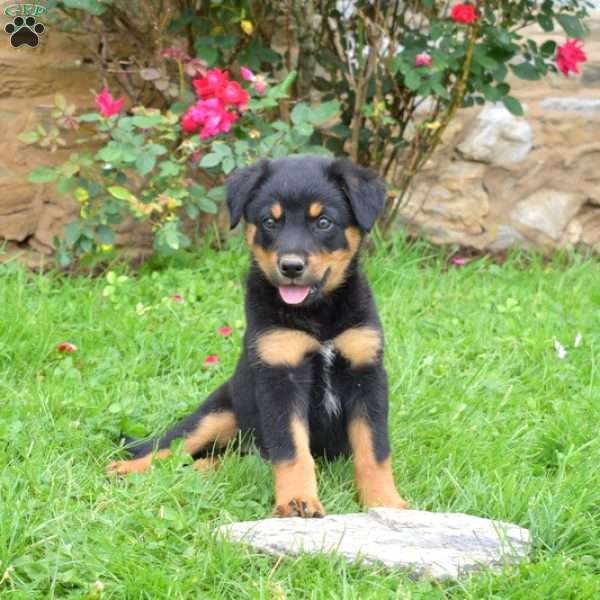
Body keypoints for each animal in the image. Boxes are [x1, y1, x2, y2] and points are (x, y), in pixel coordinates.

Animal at [108, 157, 408, 516]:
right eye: (269, 221)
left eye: (323, 222)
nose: (291, 266)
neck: (317, 314)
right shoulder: (280, 376)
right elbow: (292, 451)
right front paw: (297, 501)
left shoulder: (366, 374)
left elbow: (374, 450)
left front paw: (385, 501)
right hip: (219, 412)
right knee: (170, 446)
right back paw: (126, 469)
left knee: (217, 460)